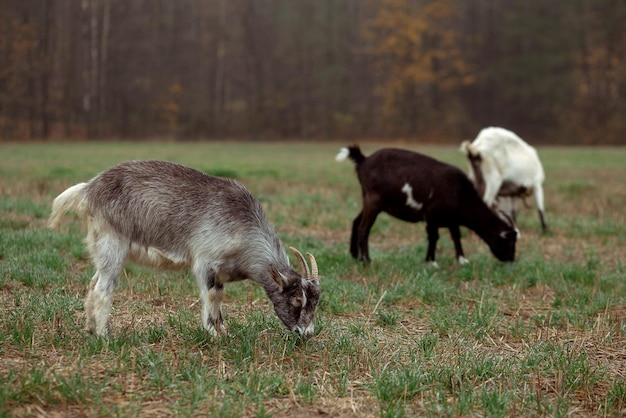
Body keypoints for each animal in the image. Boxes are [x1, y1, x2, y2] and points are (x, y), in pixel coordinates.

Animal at [48, 159, 320, 336]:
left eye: (316, 302)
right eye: (296, 299)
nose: (306, 333)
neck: (244, 231)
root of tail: (89, 189)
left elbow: (218, 302)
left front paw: (224, 332)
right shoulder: (206, 264)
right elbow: (212, 298)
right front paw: (214, 336)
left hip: (100, 248)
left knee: (93, 284)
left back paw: (90, 329)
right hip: (112, 243)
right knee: (103, 289)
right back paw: (105, 336)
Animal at [336, 145, 516, 266]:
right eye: (509, 242)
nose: (511, 260)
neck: (460, 193)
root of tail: (363, 160)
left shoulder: (452, 219)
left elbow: (456, 236)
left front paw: (462, 260)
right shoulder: (432, 214)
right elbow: (434, 237)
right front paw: (431, 261)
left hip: (369, 200)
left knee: (356, 221)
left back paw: (355, 256)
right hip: (373, 200)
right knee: (364, 228)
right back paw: (366, 261)